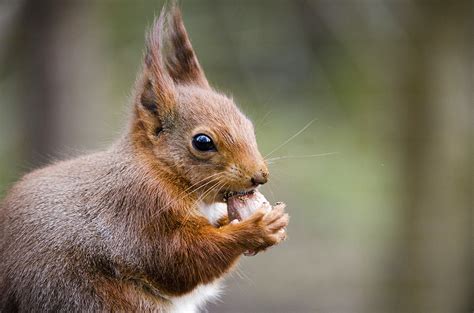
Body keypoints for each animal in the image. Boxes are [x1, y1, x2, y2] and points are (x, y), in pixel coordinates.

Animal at [0, 4, 288, 312]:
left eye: (248, 124)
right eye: (202, 142)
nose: (260, 175)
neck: (160, 168)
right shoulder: (138, 208)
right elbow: (177, 260)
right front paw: (257, 229)